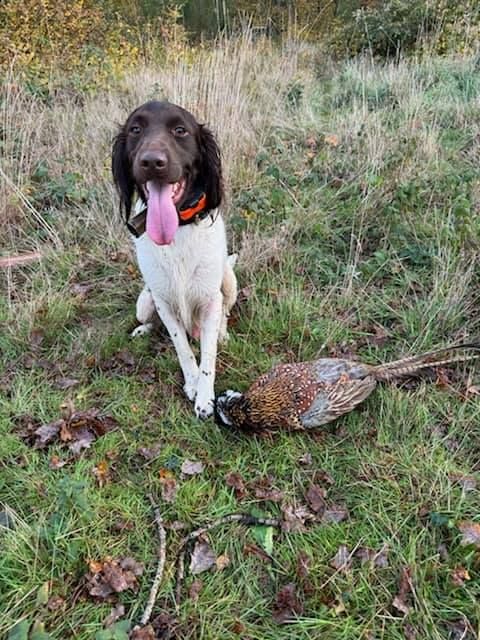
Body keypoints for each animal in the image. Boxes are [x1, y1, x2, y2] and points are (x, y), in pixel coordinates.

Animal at [113, 100, 240, 418]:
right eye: (135, 129)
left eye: (180, 130)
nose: (151, 161)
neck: (177, 228)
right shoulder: (163, 301)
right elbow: (181, 346)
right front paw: (192, 384)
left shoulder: (210, 300)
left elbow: (208, 355)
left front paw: (205, 397)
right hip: (144, 301)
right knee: (154, 322)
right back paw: (144, 329)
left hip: (228, 281)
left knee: (225, 314)